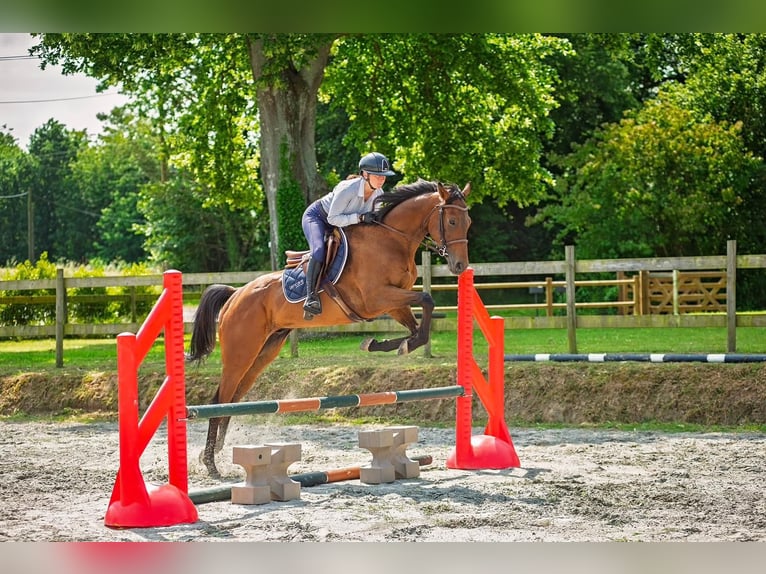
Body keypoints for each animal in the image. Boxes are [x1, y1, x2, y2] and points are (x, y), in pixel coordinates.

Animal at [186, 178, 472, 476]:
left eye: (469, 222)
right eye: (452, 221)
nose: (460, 266)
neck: (392, 241)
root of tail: (235, 295)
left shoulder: (394, 304)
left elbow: (420, 327)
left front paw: (383, 344)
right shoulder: (376, 299)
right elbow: (426, 300)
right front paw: (388, 344)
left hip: (263, 352)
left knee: (232, 398)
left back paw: (214, 454)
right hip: (240, 353)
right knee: (218, 398)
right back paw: (211, 464)